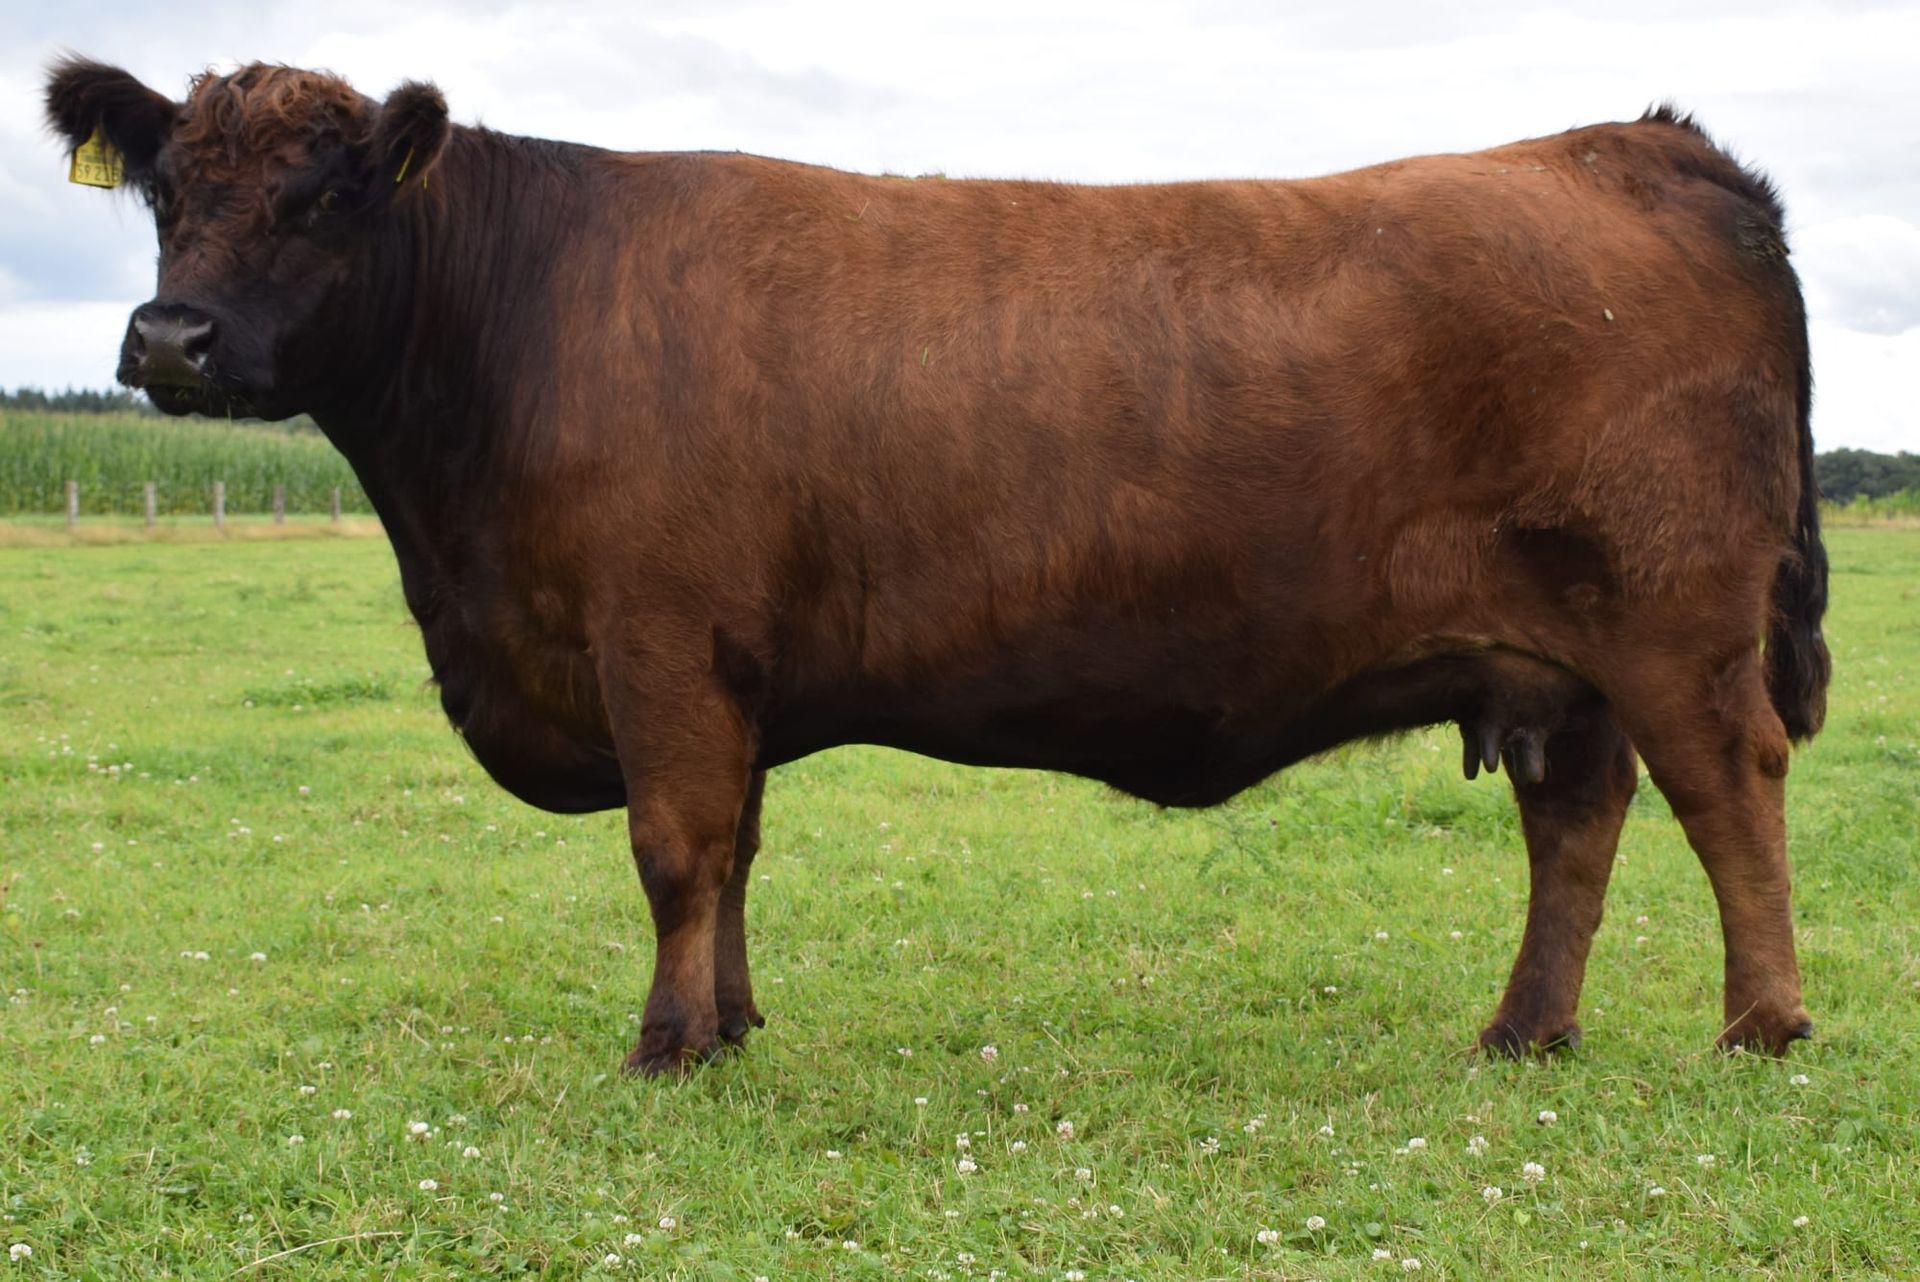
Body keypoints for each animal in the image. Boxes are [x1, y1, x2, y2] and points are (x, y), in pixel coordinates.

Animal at [47, 58, 1829, 1075]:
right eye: (165, 191)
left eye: (324, 193)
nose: (170, 338)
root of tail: (1631, 147)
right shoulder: (729, 667)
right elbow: (738, 850)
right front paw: (735, 1026)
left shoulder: (657, 638)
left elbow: (675, 849)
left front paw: (667, 1047)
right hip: (1558, 663)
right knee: (1576, 827)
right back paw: (1527, 1031)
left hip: (1674, 623)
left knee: (1730, 790)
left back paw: (1761, 1026)